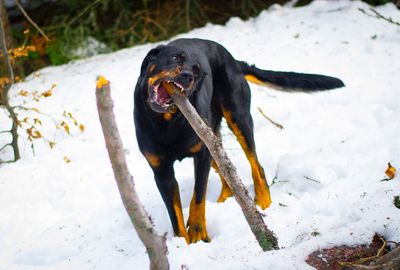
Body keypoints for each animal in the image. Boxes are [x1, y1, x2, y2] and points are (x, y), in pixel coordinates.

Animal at [134, 37, 344, 243]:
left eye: (197, 71)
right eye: (175, 58)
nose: (187, 76)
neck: (167, 122)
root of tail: (233, 60)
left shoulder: (203, 154)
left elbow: (198, 196)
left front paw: (197, 232)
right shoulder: (161, 171)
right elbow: (174, 213)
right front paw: (181, 243)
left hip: (238, 119)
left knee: (256, 165)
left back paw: (263, 202)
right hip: (214, 137)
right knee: (226, 169)